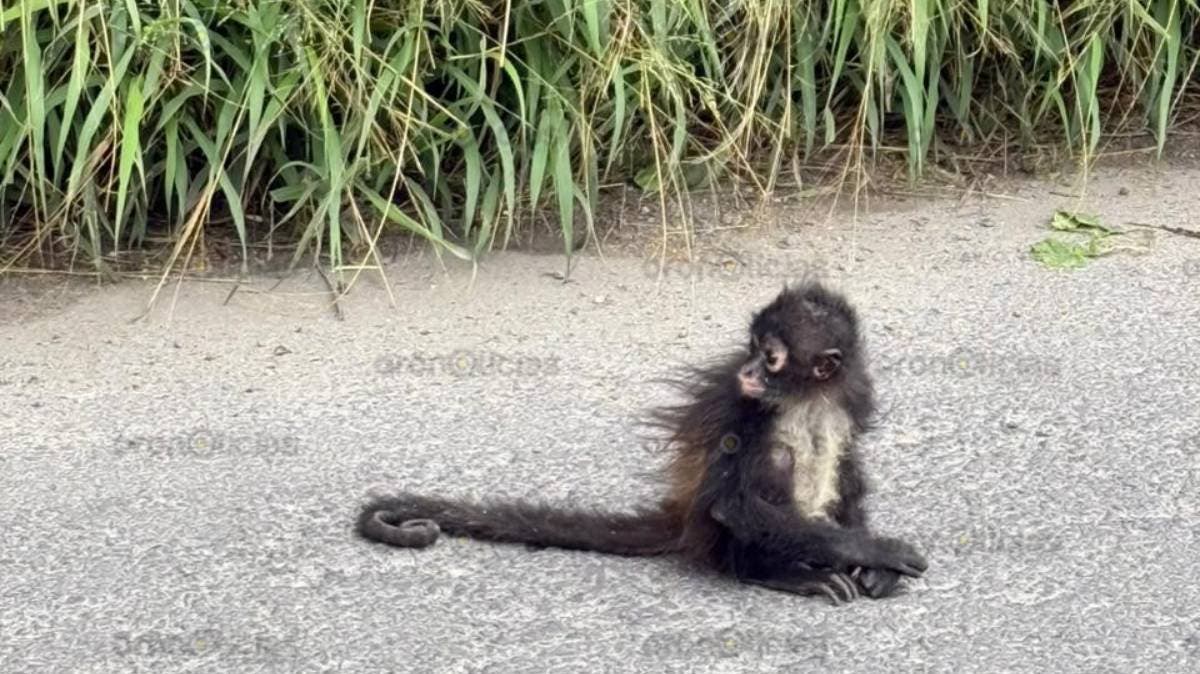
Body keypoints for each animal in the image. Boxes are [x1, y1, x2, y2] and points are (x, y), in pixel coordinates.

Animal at [356, 281, 927, 604]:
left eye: (771, 357)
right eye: (750, 349)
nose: (747, 370)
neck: (806, 396)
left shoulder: (852, 393)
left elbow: (851, 464)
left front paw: (872, 566)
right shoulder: (739, 401)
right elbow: (734, 505)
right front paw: (877, 551)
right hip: (718, 538)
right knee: (775, 464)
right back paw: (774, 572)